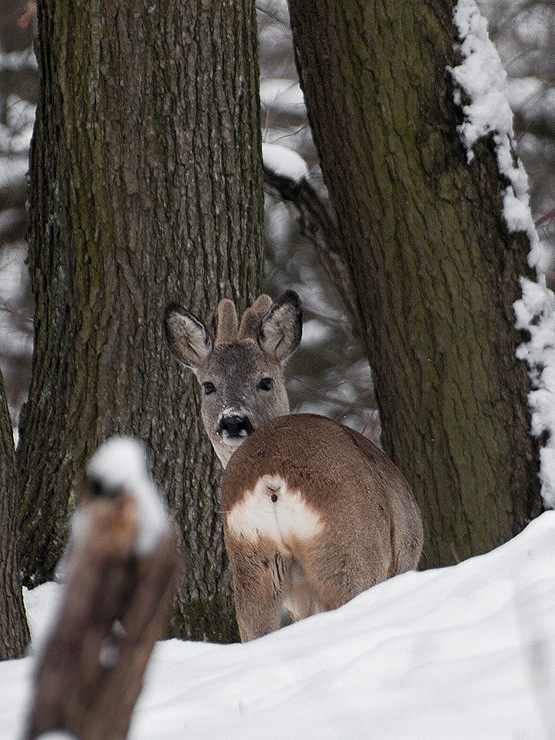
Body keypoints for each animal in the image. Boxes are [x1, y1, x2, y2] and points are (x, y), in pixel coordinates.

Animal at [163, 292, 424, 640]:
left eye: (265, 381)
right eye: (209, 385)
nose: (233, 421)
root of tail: (271, 479)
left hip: (251, 562)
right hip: (351, 549)